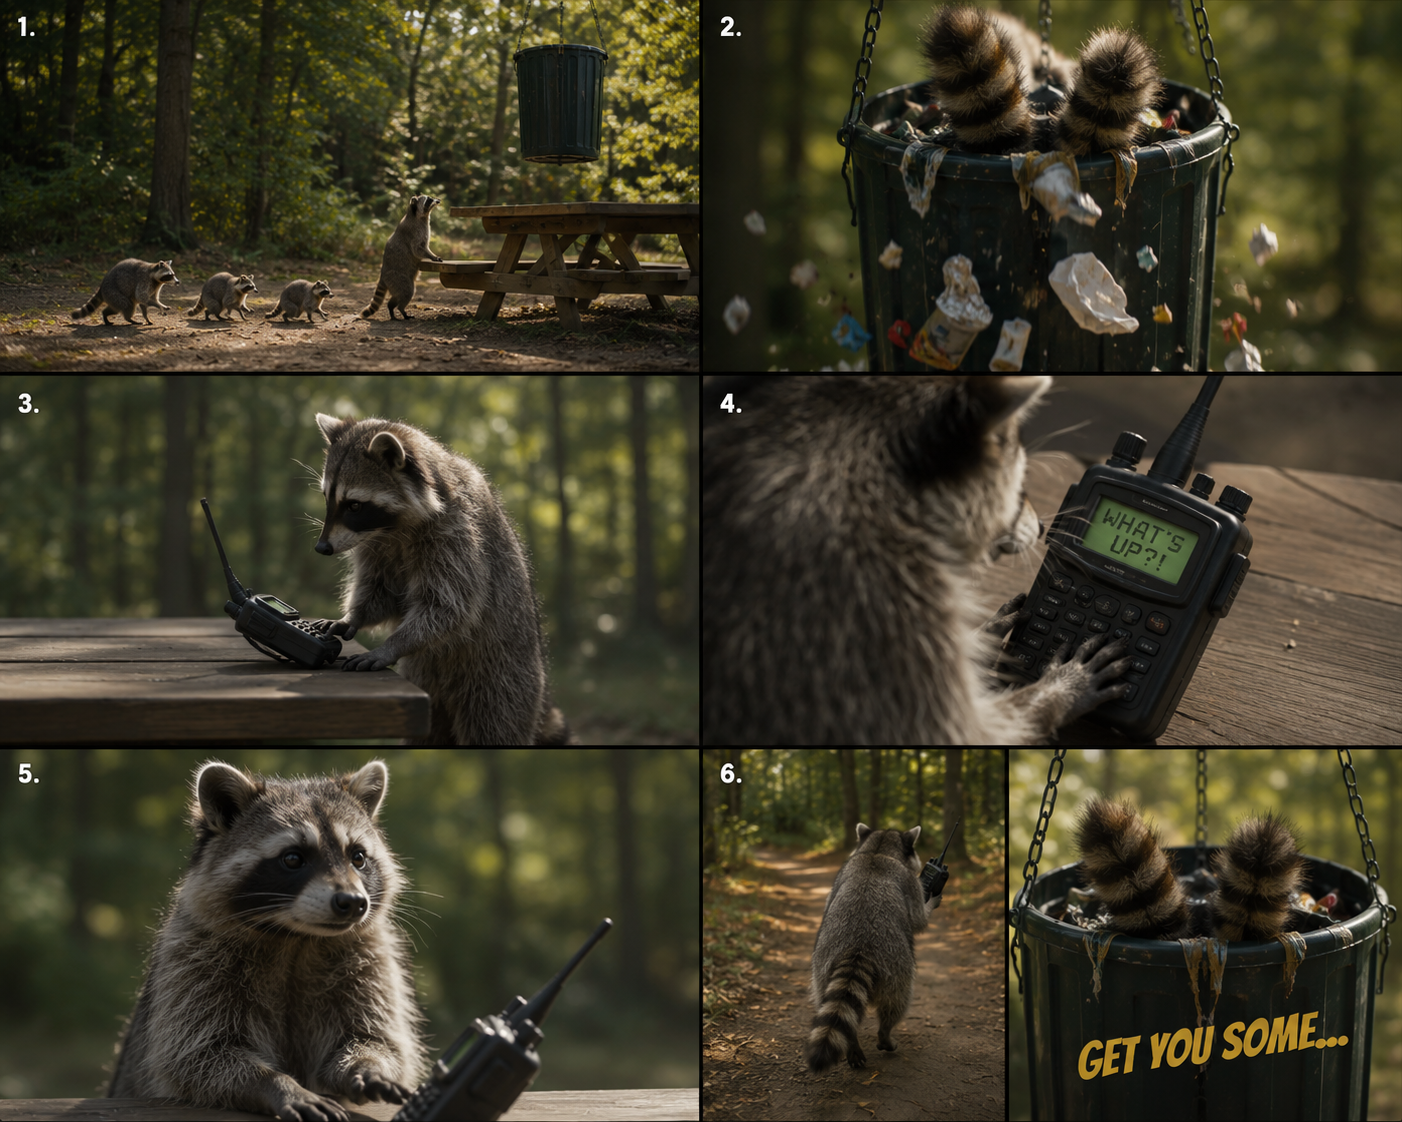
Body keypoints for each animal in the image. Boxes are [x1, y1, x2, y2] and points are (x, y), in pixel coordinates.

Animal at [107, 759, 426, 1122]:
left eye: (357, 857)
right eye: (293, 858)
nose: (353, 902)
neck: (297, 938)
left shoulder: (368, 960)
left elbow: (374, 1036)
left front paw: (369, 1066)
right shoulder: (191, 959)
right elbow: (198, 1054)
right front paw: (278, 1084)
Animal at [312, 413, 574, 746]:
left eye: (354, 505)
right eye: (327, 498)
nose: (322, 548)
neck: (393, 527)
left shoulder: (457, 532)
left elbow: (450, 605)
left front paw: (392, 644)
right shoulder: (376, 543)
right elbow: (381, 590)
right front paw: (354, 616)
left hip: (503, 680)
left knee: (494, 724)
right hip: (431, 687)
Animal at [702, 375, 1132, 745]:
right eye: (1019, 479)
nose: (1043, 527)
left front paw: (979, 639)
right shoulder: (871, 603)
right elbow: (961, 733)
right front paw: (1057, 690)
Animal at [806, 825, 936, 1073]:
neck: (878, 849)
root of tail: (859, 948)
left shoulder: (839, 879)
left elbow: (828, 902)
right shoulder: (909, 881)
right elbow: (918, 919)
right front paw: (932, 900)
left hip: (822, 965)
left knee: (825, 999)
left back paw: (852, 1041)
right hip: (897, 967)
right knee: (897, 1002)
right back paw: (885, 1035)